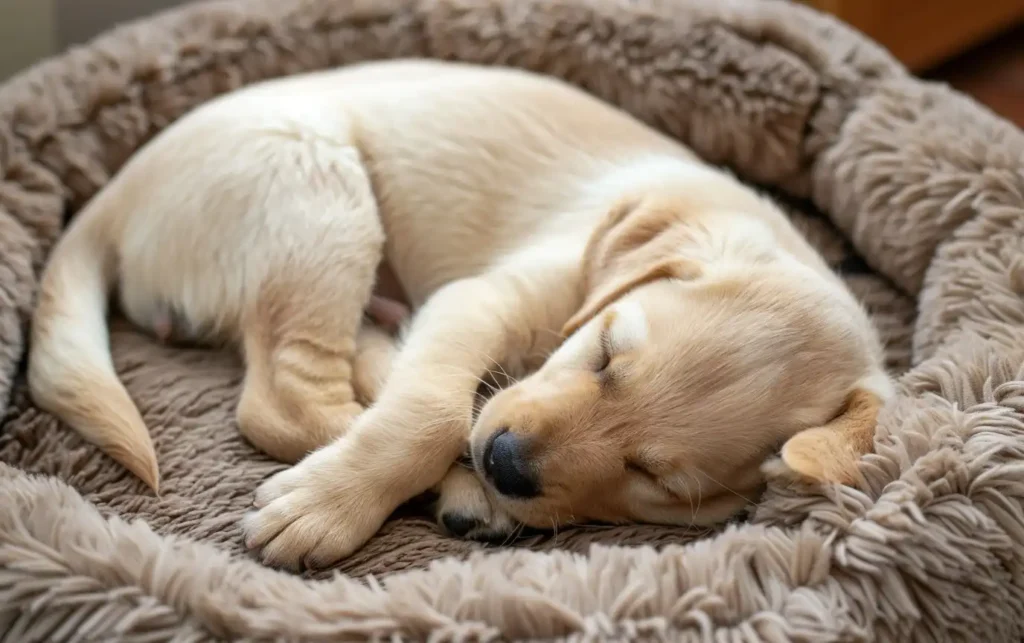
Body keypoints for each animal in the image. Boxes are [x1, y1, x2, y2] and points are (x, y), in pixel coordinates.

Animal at [28, 59, 892, 569]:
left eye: (656, 479)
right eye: (604, 353)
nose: (505, 463)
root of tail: (116, 192)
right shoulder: (489, 295)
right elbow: (434, 411)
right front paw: (327, 505)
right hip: (316, 196)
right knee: (280, 401)